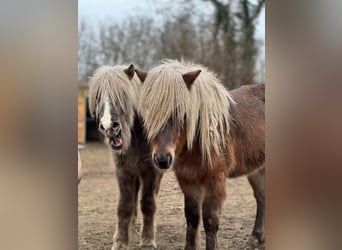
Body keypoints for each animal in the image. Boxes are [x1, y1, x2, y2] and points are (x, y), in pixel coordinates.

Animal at [88, 65, 163, 250]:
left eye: (123, 96)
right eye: (98, 97)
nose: (109, 126)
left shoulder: (151, 172)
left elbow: (148, 203)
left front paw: (148, 240)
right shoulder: (124, 171)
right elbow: (124, 205)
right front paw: (120, 241)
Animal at [136, 60, 264, 250]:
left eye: (182, 112)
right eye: (148, 113)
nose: (162, 159)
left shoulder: (215, 179)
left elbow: (210, 220)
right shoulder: (188, 179)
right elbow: (192, 217)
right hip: (257, 170)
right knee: (262, 198)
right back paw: (255, 238)